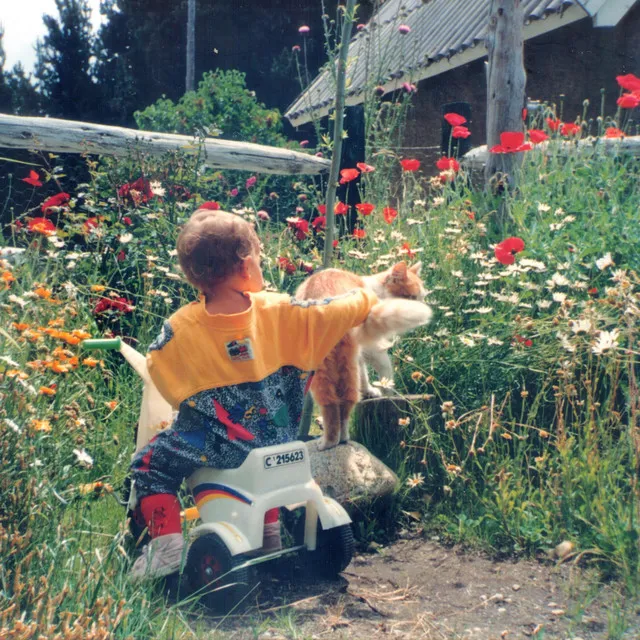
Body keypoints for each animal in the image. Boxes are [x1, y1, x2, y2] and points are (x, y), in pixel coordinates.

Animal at [298, 260, 432, 450]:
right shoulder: (373, 347)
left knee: (339, 403)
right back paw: (331, 442)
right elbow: (382, 372)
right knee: (339, 402)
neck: (375, 289)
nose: (421, 304)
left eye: (421, 297)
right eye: (411, 297)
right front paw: (384, 392)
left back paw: (338, 440)